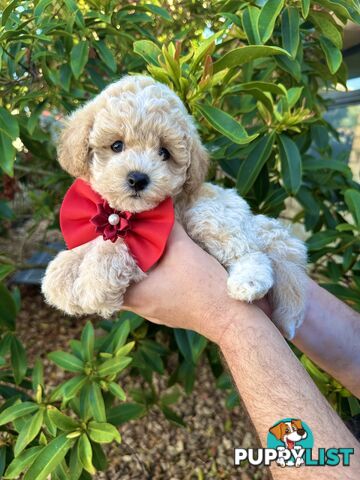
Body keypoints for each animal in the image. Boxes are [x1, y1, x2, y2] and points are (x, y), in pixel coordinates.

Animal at [41, 74, 306, 338]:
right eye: (116, 145)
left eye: (164, 153)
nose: (138, 178)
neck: (125, 213)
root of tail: (254, 222)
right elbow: (90, 243)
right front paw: (60, 273)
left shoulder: (154, 246)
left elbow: (115, 245)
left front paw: (93, 282)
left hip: (208, 216)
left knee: (252, 253)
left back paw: (247, 284)